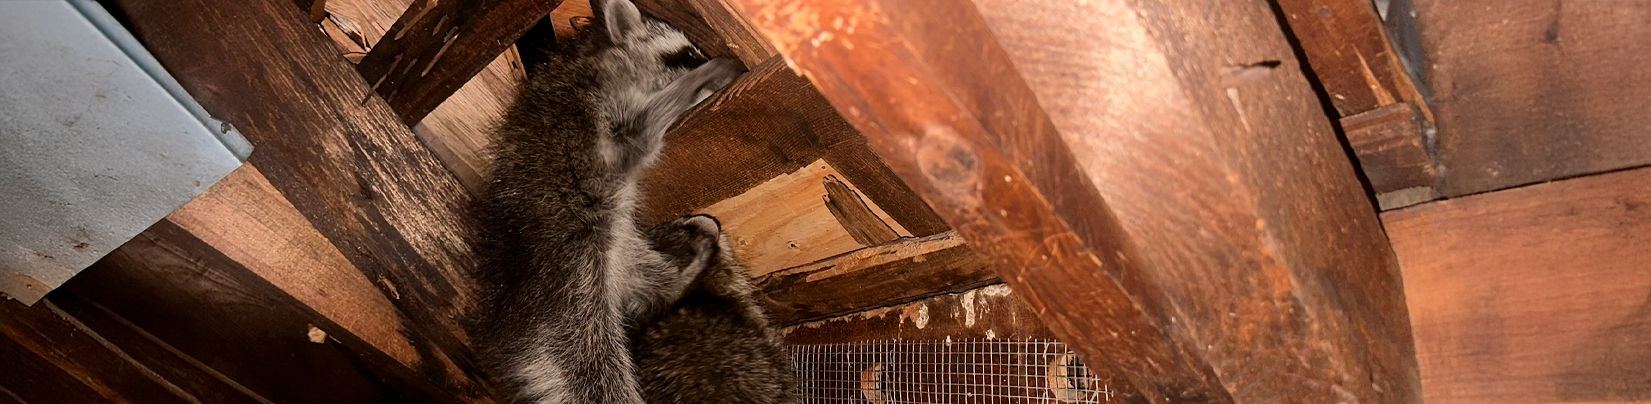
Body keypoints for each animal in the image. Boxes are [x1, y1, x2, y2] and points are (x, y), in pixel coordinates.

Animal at [467, 0, 742, 401]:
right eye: (688, 55)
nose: (711, 64)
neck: (599, 64)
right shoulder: (600, 127)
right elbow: (641, 127)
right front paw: (697, 81)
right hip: (574, 288)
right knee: (598, 370)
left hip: (616, 251)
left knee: (647, 273)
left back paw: (685, 270)